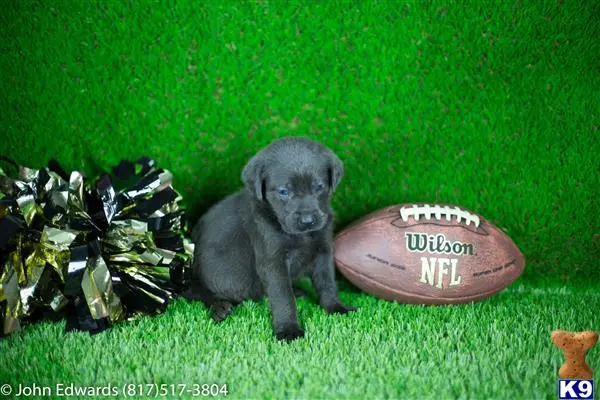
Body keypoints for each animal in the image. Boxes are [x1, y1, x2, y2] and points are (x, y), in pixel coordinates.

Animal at [186, 137, 356, 340]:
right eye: (283, 192)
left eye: (319, 187)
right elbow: (283, 296)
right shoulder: (273, 261)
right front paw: (288, 329)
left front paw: (335, 307)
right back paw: (219, 306)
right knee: (196, 292)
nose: (307, 220)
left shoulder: (323, 250)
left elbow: (327, 282)